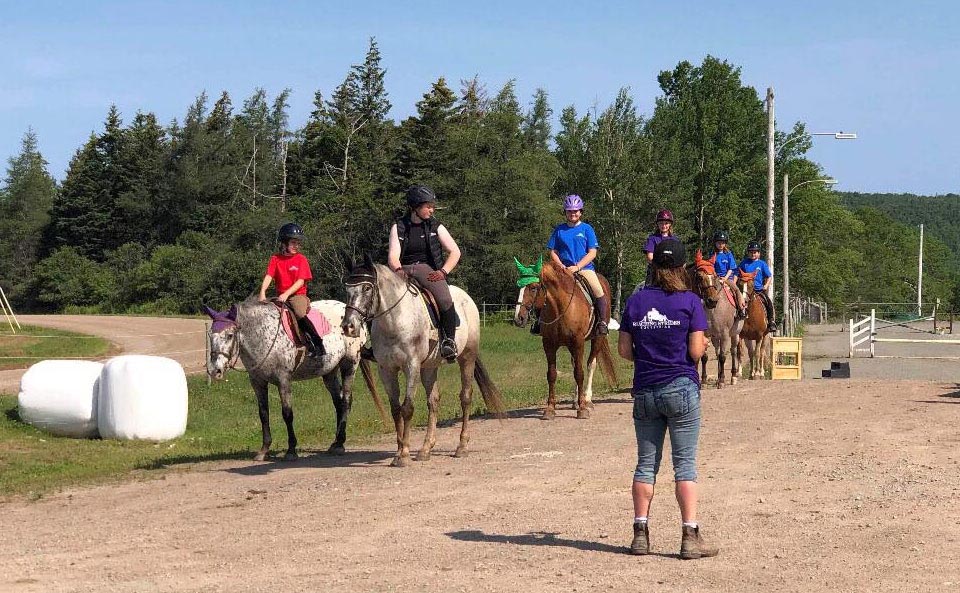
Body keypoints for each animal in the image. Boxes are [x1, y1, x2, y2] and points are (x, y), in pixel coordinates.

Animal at [204, 298, 384, 460]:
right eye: (210, 336)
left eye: (229, 335)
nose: (215, 370)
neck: (262, 335)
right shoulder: (257, 382)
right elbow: (263, 414)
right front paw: (264, 450)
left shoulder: (283, 380)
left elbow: (287, 414)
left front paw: (291, 450)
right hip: (329, 372)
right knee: (339, 403)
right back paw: (336, 442)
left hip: (349, 364)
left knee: (346, 401)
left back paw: (339, 444)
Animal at [340, 254, 506, 468]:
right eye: (347, 289)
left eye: (367, 288)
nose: (348, 326)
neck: (394, 321)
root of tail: (466, 298)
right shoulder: (386, 369)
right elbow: (396, 409)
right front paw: (399, 451)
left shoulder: (412, 366)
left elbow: (407, 408)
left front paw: (403, 455)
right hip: (429, 367)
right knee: (433, 401)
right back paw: (426, 449)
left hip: (467, 358)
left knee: (466, 397)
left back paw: (461, 447)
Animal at [512, 258, 620, 416]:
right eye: (518, 288)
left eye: (533, 288)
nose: (518, 318)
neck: (560, 307)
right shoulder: (549, 344)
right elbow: (552, 374)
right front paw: (550, 409)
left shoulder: (578, 342)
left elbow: (580, 373)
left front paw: (582, 409)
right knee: (575, 364)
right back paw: (576, 400)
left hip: (597, 338)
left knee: (590, 364)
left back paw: (587, 399)